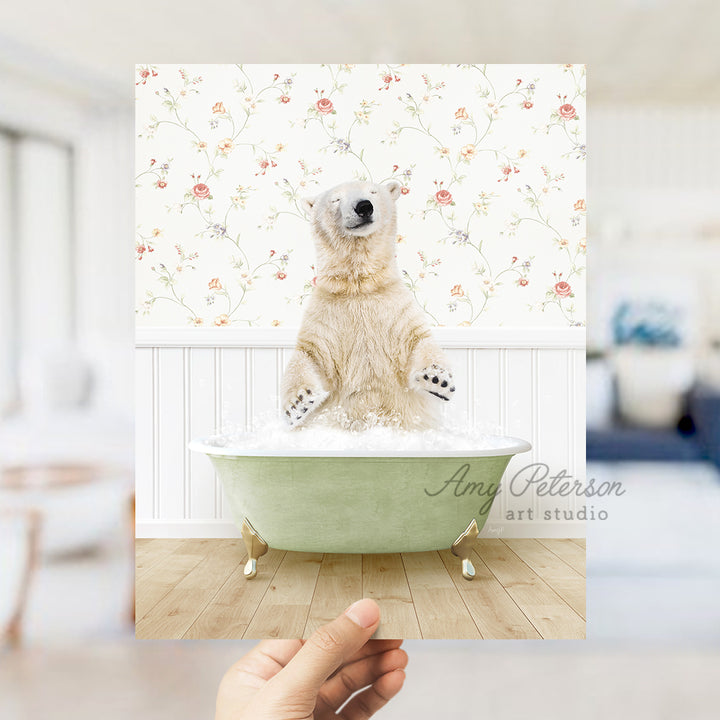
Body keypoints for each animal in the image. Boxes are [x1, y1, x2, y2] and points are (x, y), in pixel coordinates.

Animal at [282, 180, 456, 430]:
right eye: (336, 199)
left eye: (373, 191)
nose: (364, 206)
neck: (359, 285)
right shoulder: (327, 315)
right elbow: (309, 355)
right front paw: (299, 402)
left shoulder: (395, 307)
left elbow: (419, 341)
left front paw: (436, 379)